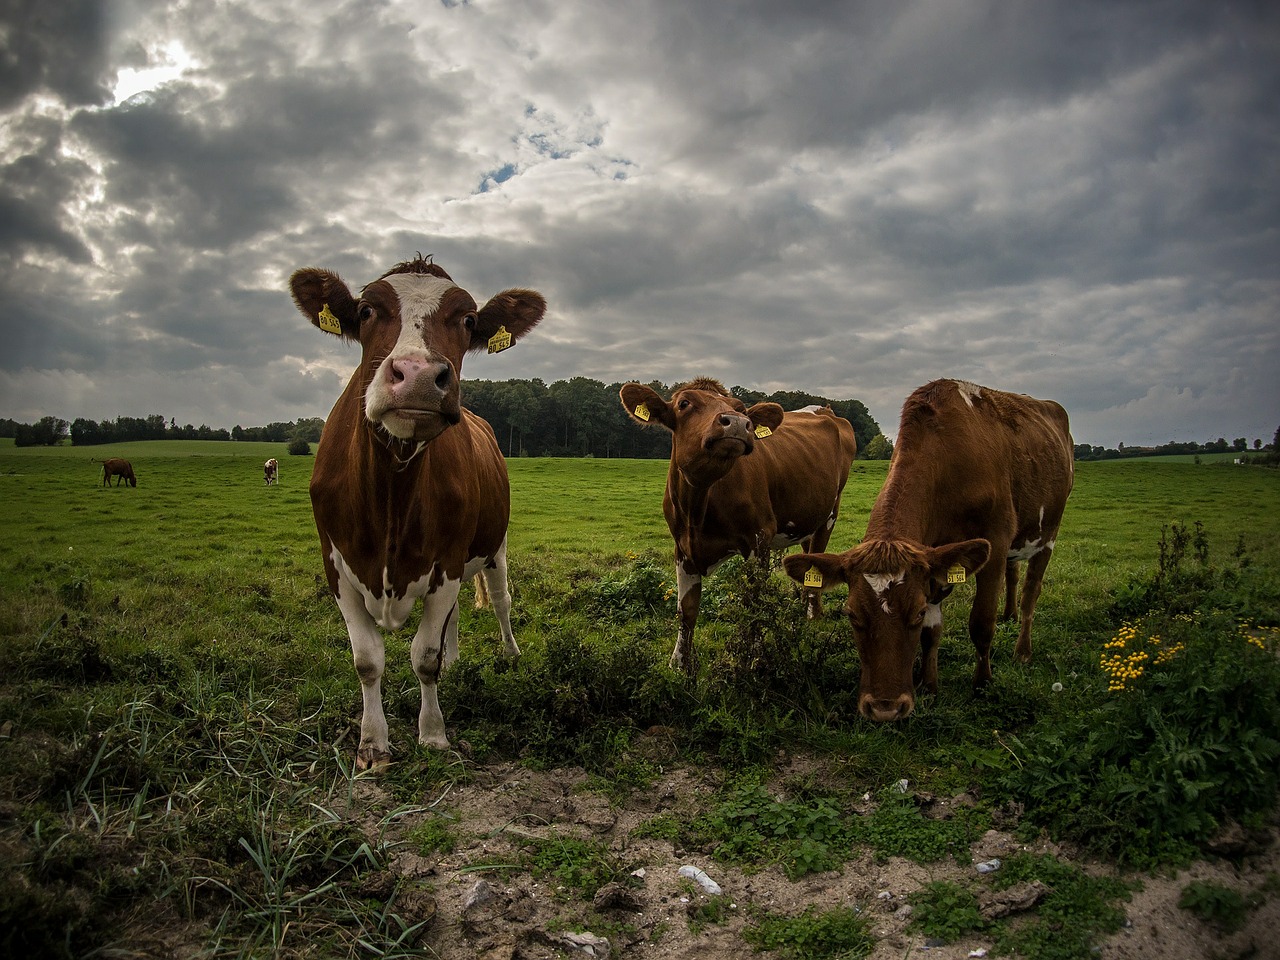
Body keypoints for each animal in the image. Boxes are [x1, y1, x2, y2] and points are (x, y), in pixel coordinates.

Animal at [290, 253, 545, 768]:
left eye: (468, 321)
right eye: (366, 311)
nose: (420, 375)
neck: (392, 492)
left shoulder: (446, 560)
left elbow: (425, 656)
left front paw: (432, 734)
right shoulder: (336, 566)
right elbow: (368, 660)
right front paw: (373, 743)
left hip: (495, 546)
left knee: (501, 601)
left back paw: (510, 653)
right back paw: (457, 658)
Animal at [616, 378, 855, 675]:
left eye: (740, 408)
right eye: (684, 403)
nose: (739, 423)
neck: (699, 507)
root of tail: (824, 409)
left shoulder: (759, 539)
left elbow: (753, 602)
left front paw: (754, 659)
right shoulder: (682, 548)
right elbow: (687, 609)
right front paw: (680, 663)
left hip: (830, 513)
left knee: (816, 563)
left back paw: (812, 617)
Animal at [783, 381, 1075, 721]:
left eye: (916, 611)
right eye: (851, 614)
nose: (884, 708)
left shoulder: (995, 543)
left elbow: (981, 623)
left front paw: (982, 684)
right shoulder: (935, 560)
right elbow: (931, 632)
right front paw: (928, 685)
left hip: (1049, 532)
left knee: (1031, 592)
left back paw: (1023, 650)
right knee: (1014, 575)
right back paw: (1010, 614)